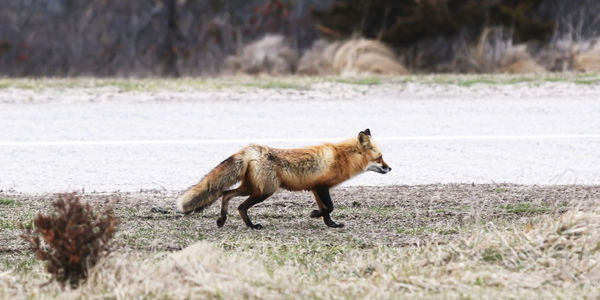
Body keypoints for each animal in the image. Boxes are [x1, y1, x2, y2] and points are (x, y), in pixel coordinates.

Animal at [176, 127, 392, 229]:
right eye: (380, 157)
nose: (389, 168)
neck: (342, 157)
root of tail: (252, 149)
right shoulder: (321, 186)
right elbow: (329, 207)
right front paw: (315, 214)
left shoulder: (316, 189)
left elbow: (327, 211)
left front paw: (330, 224)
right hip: (264, 191)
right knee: (240, 206)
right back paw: (251, 226)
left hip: (251, 188)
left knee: (226, 194)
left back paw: (223, 219)